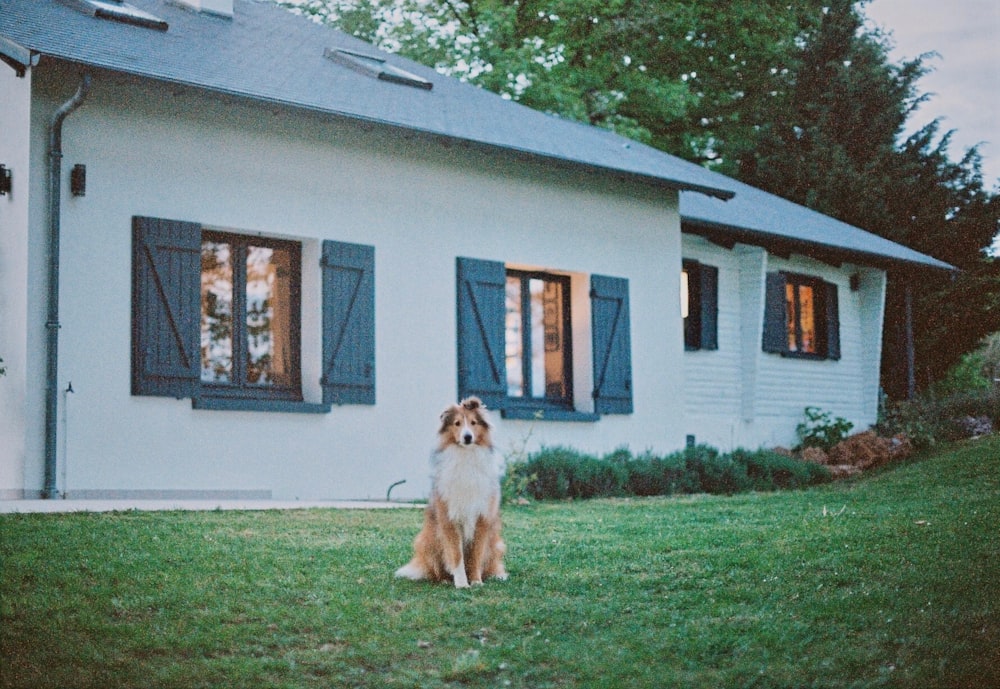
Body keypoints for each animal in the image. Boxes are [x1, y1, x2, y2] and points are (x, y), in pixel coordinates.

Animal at [394, 398, 508, 584]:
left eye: (473, 423)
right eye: (457, 423)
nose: (467, 437)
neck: (466, 456)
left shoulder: (482, 520)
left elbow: (476, 555)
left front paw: (476, 582)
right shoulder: (450, 519)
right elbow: (456, 555)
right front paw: (461, 583)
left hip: (496, 544)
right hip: (428, 542)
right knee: (437, 569)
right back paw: (446, 580)